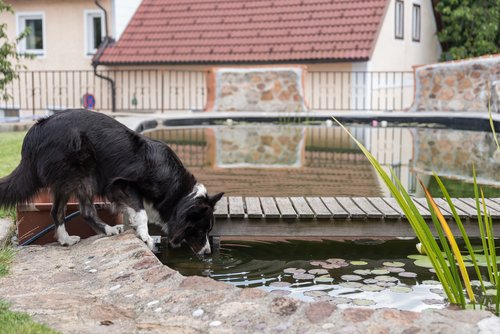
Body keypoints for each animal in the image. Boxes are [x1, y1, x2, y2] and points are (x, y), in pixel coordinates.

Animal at [0, 109, 223, 253]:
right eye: (201, 229)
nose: (207, 253)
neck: (179, 194)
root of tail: (34, 132)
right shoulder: (123, 184)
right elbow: (141, 213)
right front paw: (146, 238)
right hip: (78, 175)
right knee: (68, 211)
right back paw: (78, 236)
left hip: (79, 179)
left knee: (76, 211)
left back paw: (88, 235)